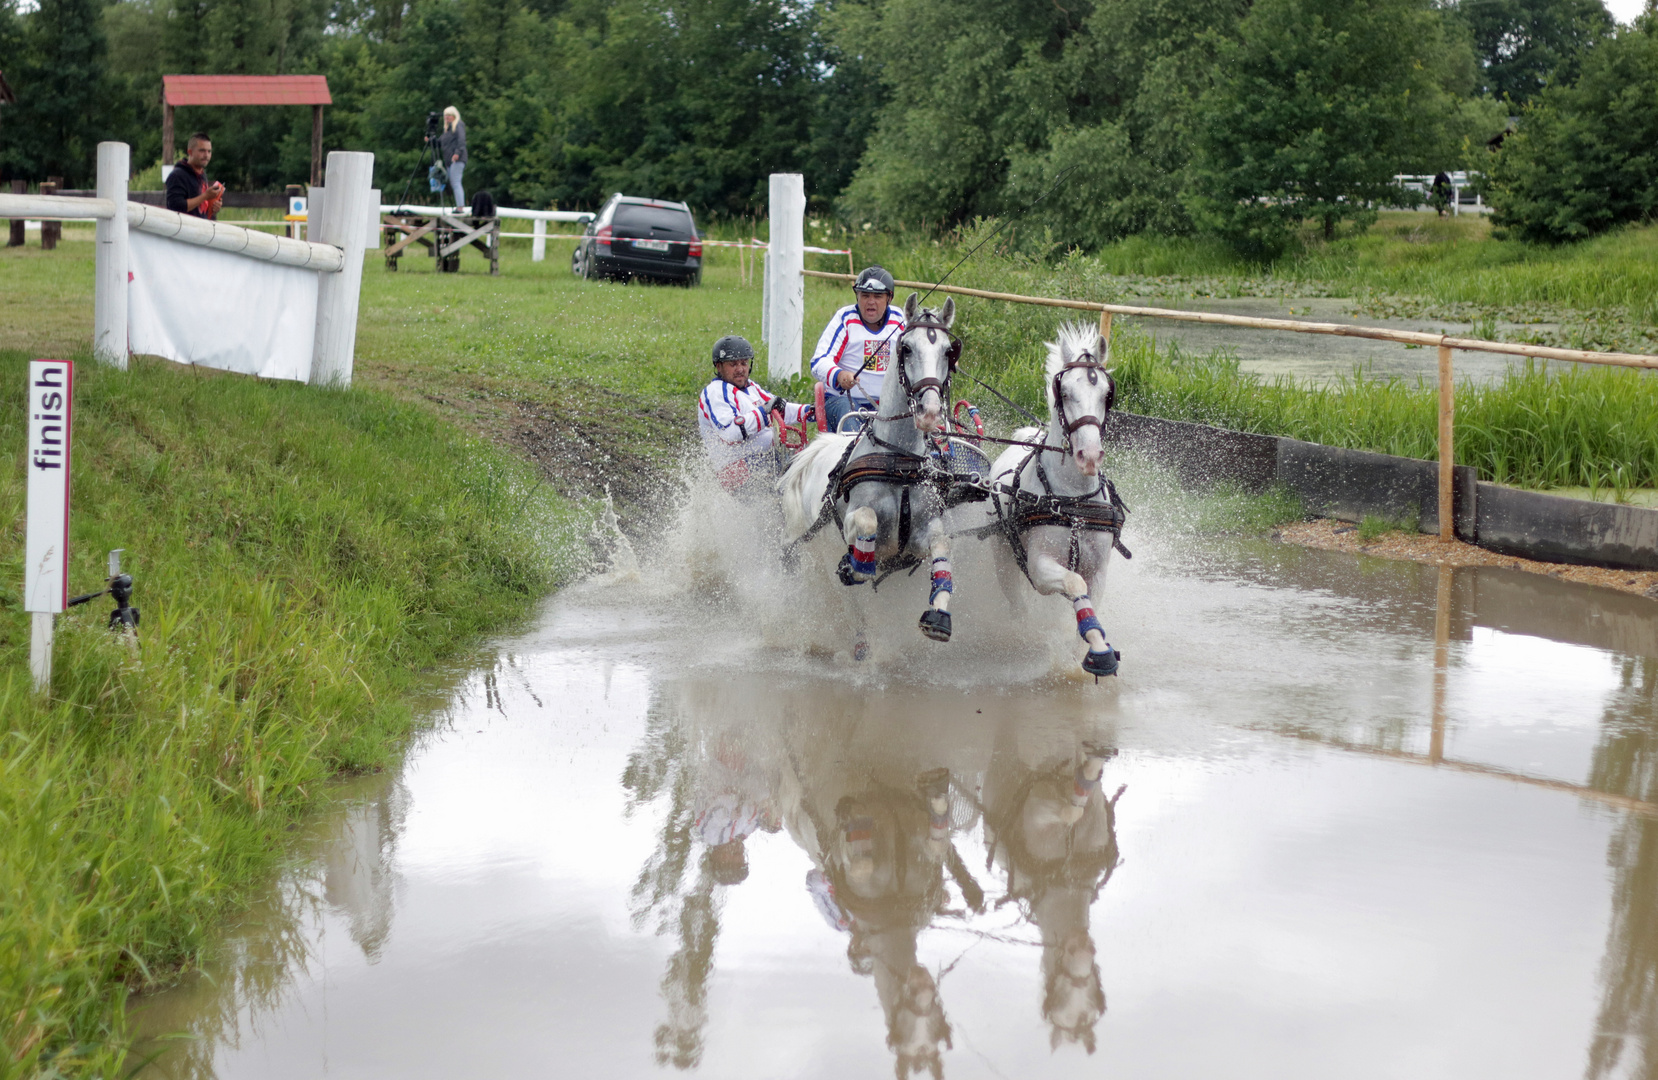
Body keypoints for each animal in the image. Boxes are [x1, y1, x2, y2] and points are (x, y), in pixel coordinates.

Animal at [782, 295, 968, 647]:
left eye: (948, 351)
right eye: (906, 348)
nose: (930, 412)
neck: (899, 462)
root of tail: (818, 450)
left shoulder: (921, 536)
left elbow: (942, 548)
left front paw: (938, 615)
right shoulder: (853, 519)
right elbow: (866, 523)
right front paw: (855, 566)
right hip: (819, 547)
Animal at [981, 318, 1127, 676]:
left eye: (1107, 394)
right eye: (1065, 392)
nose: (1090, 455)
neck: (1073, 501)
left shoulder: (1099, 571)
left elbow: (1086, 599)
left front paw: (1091, 651)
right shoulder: (1039, 566)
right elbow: (1074, 583)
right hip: (1004, 560)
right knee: (1018, 606)